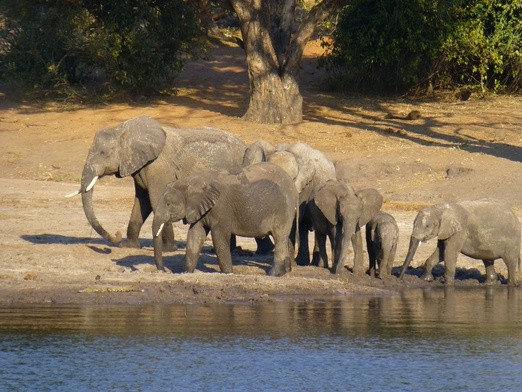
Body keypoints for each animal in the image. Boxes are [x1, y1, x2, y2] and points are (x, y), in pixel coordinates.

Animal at [67, 116, 246, 250]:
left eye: (103, 153)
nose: (116, 235)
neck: (124, 130)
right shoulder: (140, 167)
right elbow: (142, 202)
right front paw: (128, 246)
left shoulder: (158, 167)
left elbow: (156, 200)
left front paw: (168, 249)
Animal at [150, 162, 296, 276]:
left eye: (168, 204)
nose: (165, 271)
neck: (192, 181)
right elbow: (195, 235)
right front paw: (187, 272)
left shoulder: (221, 208)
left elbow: (219, 237)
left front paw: (228, 273)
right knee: (284, 238)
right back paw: (287, 271)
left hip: (283, 209)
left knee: (280, 237)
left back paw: (274, 274)